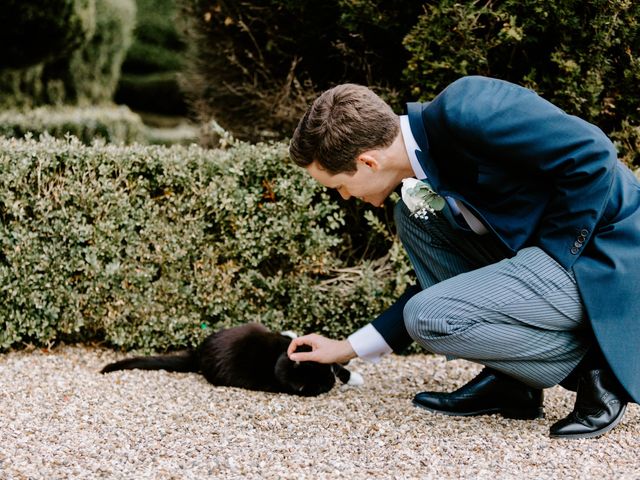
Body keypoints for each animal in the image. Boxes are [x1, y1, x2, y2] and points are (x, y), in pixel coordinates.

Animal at [99, 320, 360, 396]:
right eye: (321, 383)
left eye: (325, 371)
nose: (331, 381)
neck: (280, 364)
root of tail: (198, 354)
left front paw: (348, 371)